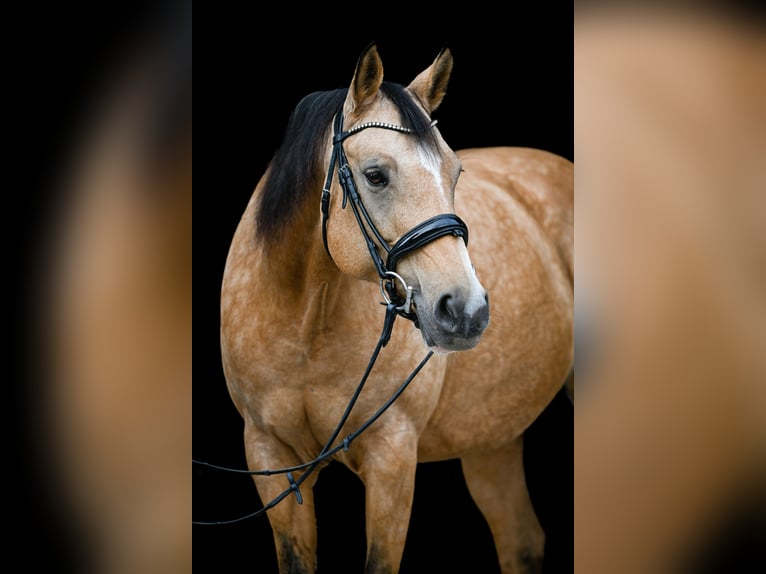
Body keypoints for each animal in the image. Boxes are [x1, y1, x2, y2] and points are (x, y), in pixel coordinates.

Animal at [218, 43, 573, 574]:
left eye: (455, 172)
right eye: (376, 175)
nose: (466, 310)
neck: (304, 326)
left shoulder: (392, 457)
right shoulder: (269, 455)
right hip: (492, 439)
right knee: (521, 541)